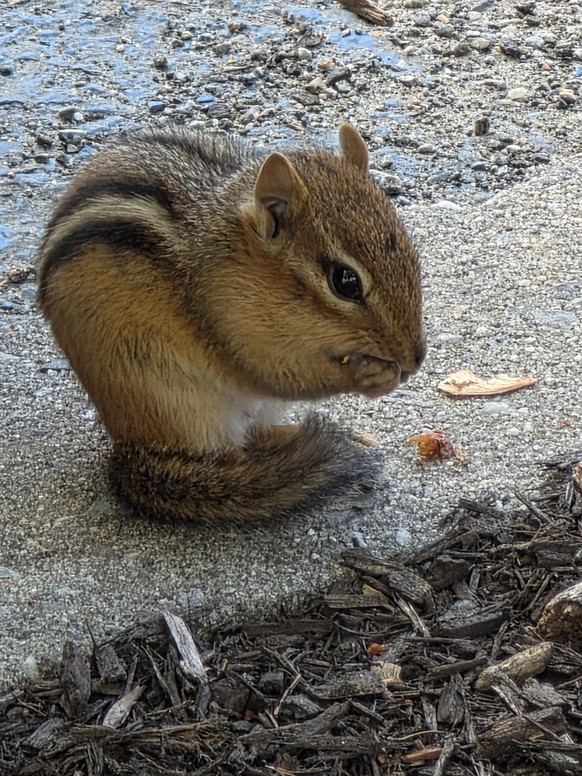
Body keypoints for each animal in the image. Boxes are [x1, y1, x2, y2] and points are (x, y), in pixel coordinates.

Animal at [37, 124, 426, 522]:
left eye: (412, 253)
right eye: (345, 281)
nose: (415, 360)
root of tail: (129, 448)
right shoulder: (228, 326)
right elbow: (273, 376)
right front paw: (368, 375)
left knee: (254, 433)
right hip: (173, 402)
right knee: (227, 458)